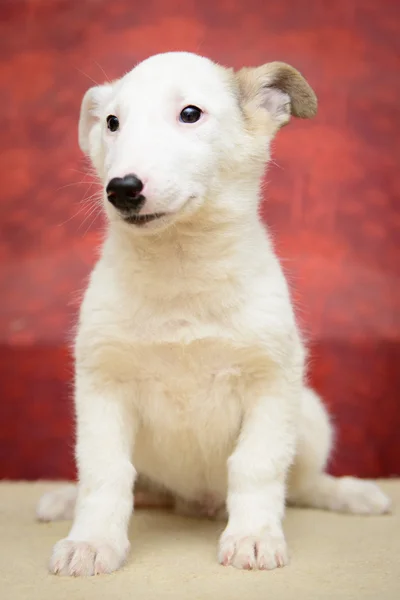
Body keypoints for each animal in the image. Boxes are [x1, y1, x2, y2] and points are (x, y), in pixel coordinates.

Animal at [39, 51, 390, 576]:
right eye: (112, 123)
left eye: (190, 114)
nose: (121, 189)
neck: (182, 268)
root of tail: (193, 502)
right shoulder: (103, 385)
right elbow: (104, 472)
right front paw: (92, 540)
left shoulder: (270, 382)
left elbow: (256, 465)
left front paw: (253, 536)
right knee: (138, 487)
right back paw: (65, 500)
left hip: (310, 417)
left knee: (304, 484)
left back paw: (350, 494)